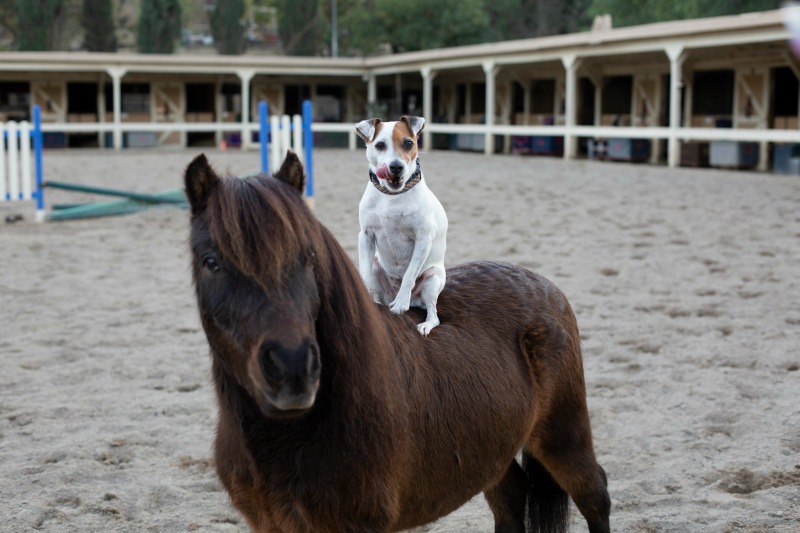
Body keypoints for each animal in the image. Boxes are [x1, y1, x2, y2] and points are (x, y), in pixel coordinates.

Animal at [184, 151, 608, 532]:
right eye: (211, 262)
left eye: (308, 255)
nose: (292, 370)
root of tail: (545, 286)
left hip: (562, 432)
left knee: (593, 493)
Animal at [358, 117, 450, 336]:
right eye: (380, 145)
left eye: (408, 143)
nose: (396, 167)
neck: (392, 196)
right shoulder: (365, 236)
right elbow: (365, 274)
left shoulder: (423, 240)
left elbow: (409, 275)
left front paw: (400, 304)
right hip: (377, 265)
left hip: (432, 281)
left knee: (434, 314)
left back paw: (424, 323)